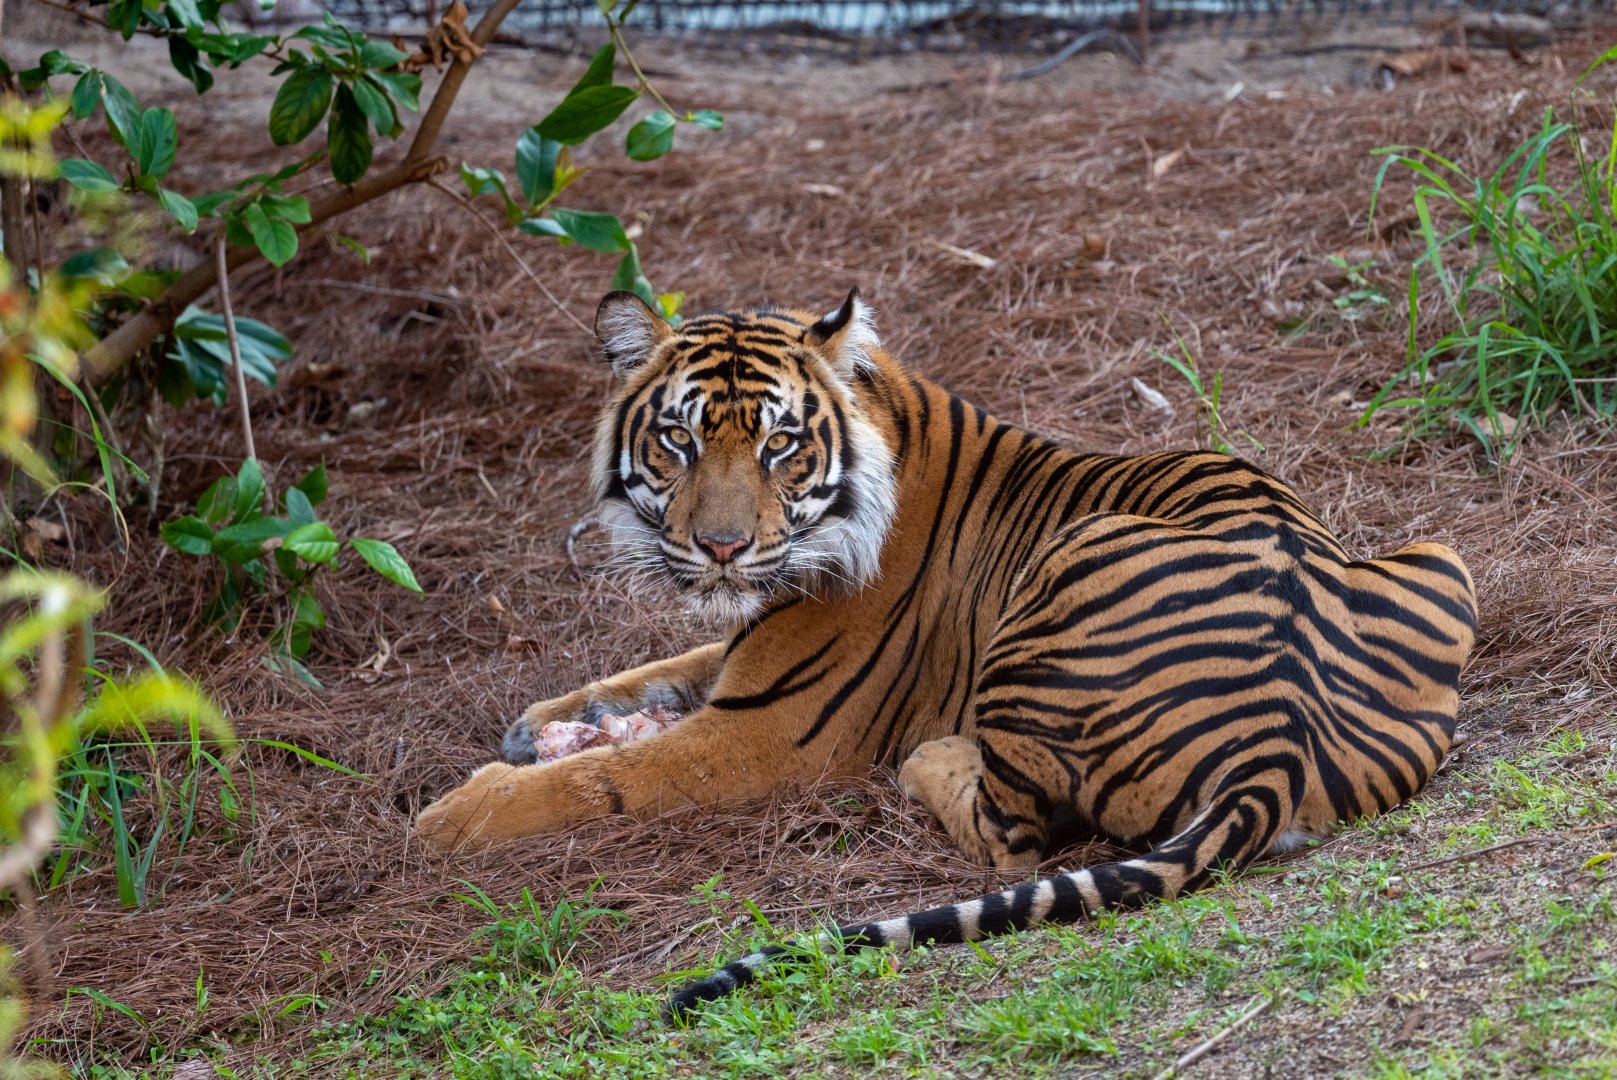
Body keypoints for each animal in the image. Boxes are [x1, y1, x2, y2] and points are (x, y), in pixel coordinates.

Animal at [415, 288, 1477, 1019]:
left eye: (778, 445)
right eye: (677, 439)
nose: (719, 547)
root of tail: (1277, 744)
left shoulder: (769, 733)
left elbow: (604, 780)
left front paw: (453, 814)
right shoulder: (742, 658)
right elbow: (649, 679)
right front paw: (539, 724)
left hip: (1067, 562)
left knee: (1013, 831)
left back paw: (933, 755)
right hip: (1440, 553)